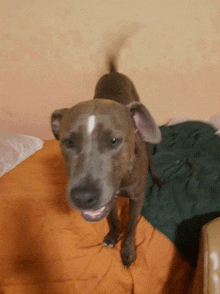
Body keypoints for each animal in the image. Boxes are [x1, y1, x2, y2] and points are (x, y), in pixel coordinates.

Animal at [51, 49, 162, 268]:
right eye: (68, 142)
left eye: (113, 141)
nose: (83, 197)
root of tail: (113, 72)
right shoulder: (109, 197)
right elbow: (113, 217)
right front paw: (113, 235)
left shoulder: (137, 197)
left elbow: (131, 226)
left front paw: (127, 250)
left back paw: (156, 176)